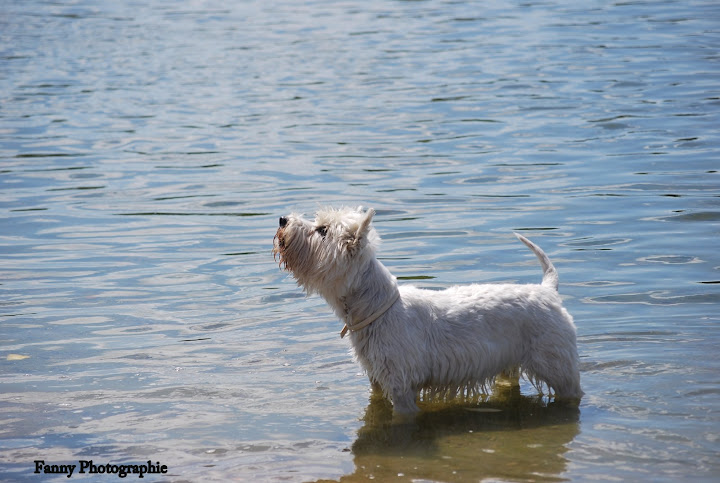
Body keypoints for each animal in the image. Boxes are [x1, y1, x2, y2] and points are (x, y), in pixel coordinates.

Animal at [272, 206, 584, 414]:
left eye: (322, 230)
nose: (282, 219)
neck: (375, 308)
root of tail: (548, 290)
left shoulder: (400, 387)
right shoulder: (377, 378)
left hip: (557, 366)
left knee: (572, 391)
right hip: (510, 364)